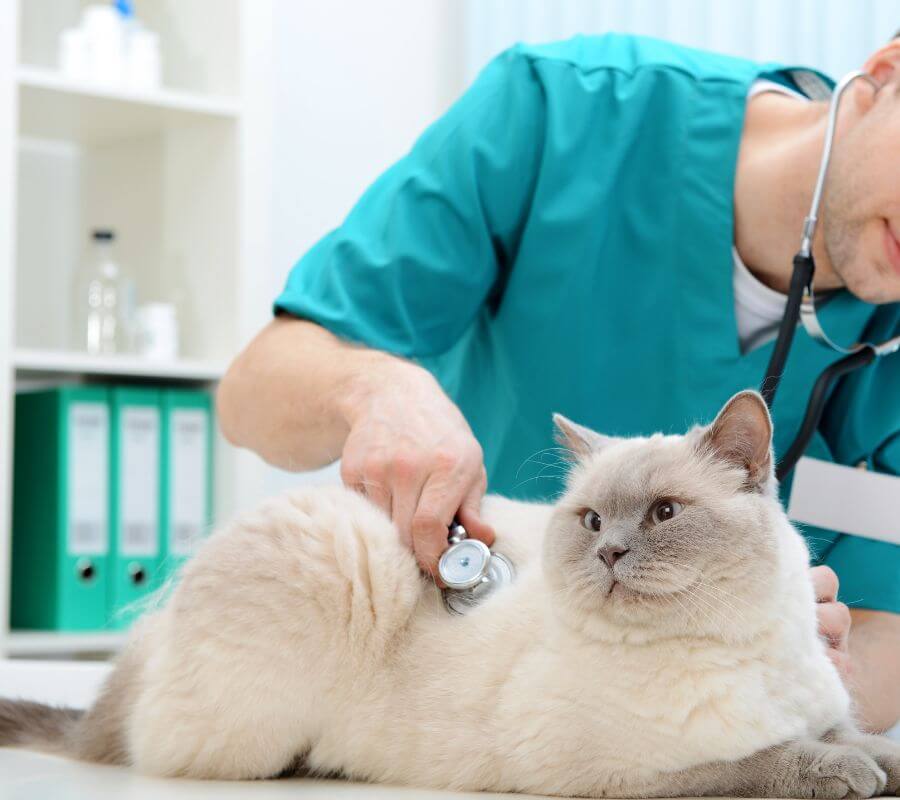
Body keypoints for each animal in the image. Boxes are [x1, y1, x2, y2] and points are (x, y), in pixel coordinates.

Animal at [1, 390, 900, 796]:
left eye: (665, 514)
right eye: (591, 519)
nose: (609, 552)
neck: (735, 642)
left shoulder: (821, 703)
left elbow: (860, 734)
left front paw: (870, 759)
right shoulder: (619, 772)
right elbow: (765, 759)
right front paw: (844, 772)